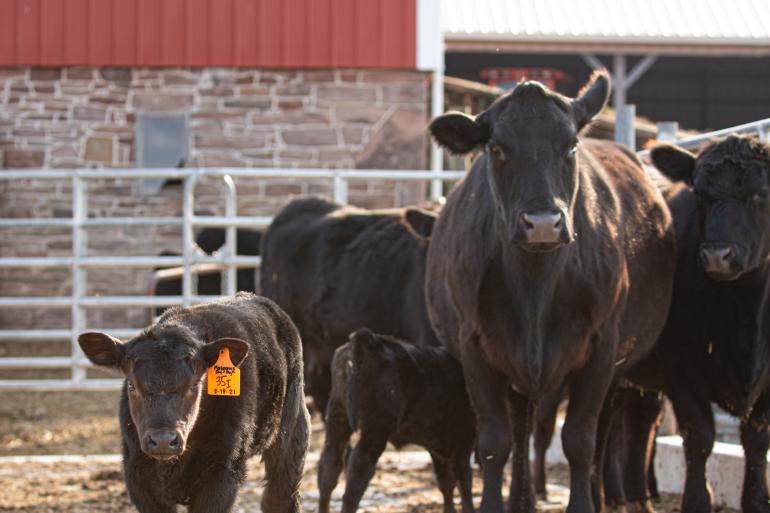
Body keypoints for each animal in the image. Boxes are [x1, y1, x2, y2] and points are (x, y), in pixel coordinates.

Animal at [78, 292, 306, 512]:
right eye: (132, 386)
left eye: (194, 385)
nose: (163, 440)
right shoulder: (138, 473)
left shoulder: (222, 473)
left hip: (291, 432)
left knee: (278, 497)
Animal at [316, 328, 474, 512]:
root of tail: (368, 340)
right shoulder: (463, 442)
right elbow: (463, 482)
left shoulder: (439, 449)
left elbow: (446, 483)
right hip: (375, 430)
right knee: (357, 474)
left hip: (337, 417)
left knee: (328, 469)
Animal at [426, 72, 672, 512]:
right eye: (497, 148)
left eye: (570, 145)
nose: (542, 223)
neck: (535, 287)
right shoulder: (474, 346)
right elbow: (495, 442)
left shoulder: (602, 345)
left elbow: (580, 439)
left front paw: (583, 504)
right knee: (522, 426)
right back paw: (522, 499)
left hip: (616, 367)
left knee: (602, 430)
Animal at [624, 134, 768, 512]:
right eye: (701, 195)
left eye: (760, 194)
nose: (717, 256)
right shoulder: (683, 371)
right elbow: (700, 436)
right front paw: (697, 501)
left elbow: (757, 438)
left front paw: (757, 500)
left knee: (638, 422)